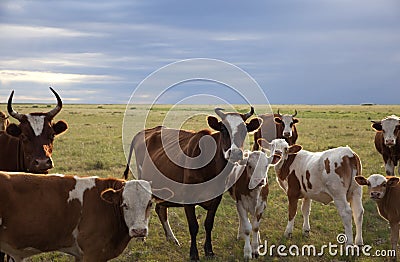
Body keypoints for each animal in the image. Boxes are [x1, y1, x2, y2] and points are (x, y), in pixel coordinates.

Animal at [125, 106, 262, 260]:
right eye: (223, 129)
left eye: (245, 130)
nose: (235, 153)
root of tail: (146, 131)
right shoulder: (188, 199)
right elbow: (193, 226)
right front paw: (194, 253)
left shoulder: (216, 199)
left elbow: (208, 224)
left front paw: (209, 250)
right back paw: (141, 237)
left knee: (161, 209)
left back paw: (171, 238)